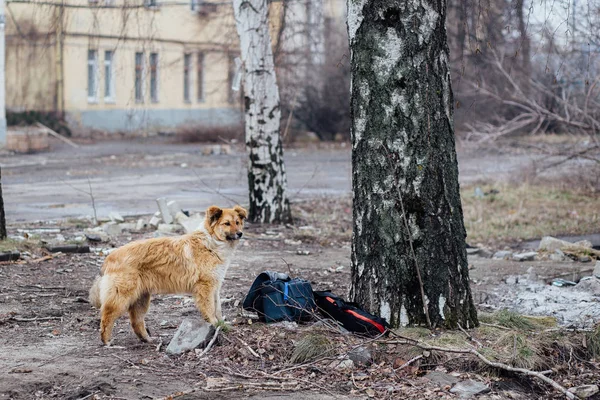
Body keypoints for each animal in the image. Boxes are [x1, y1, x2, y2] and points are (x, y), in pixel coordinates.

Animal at [88, 205, 246, 346]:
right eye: (227, 223)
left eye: (237, 222)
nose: (240, 234)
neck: (211, 242)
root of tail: (110, 257)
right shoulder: (205, 286)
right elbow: (210, 309)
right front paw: (214, 324)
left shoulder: (215, 287)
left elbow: (217, 308)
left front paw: (222, 325)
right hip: (121, 297)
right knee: (107, 316)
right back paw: (106, 341)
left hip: (141, 299)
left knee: (136, 321)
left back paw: (147, 339)